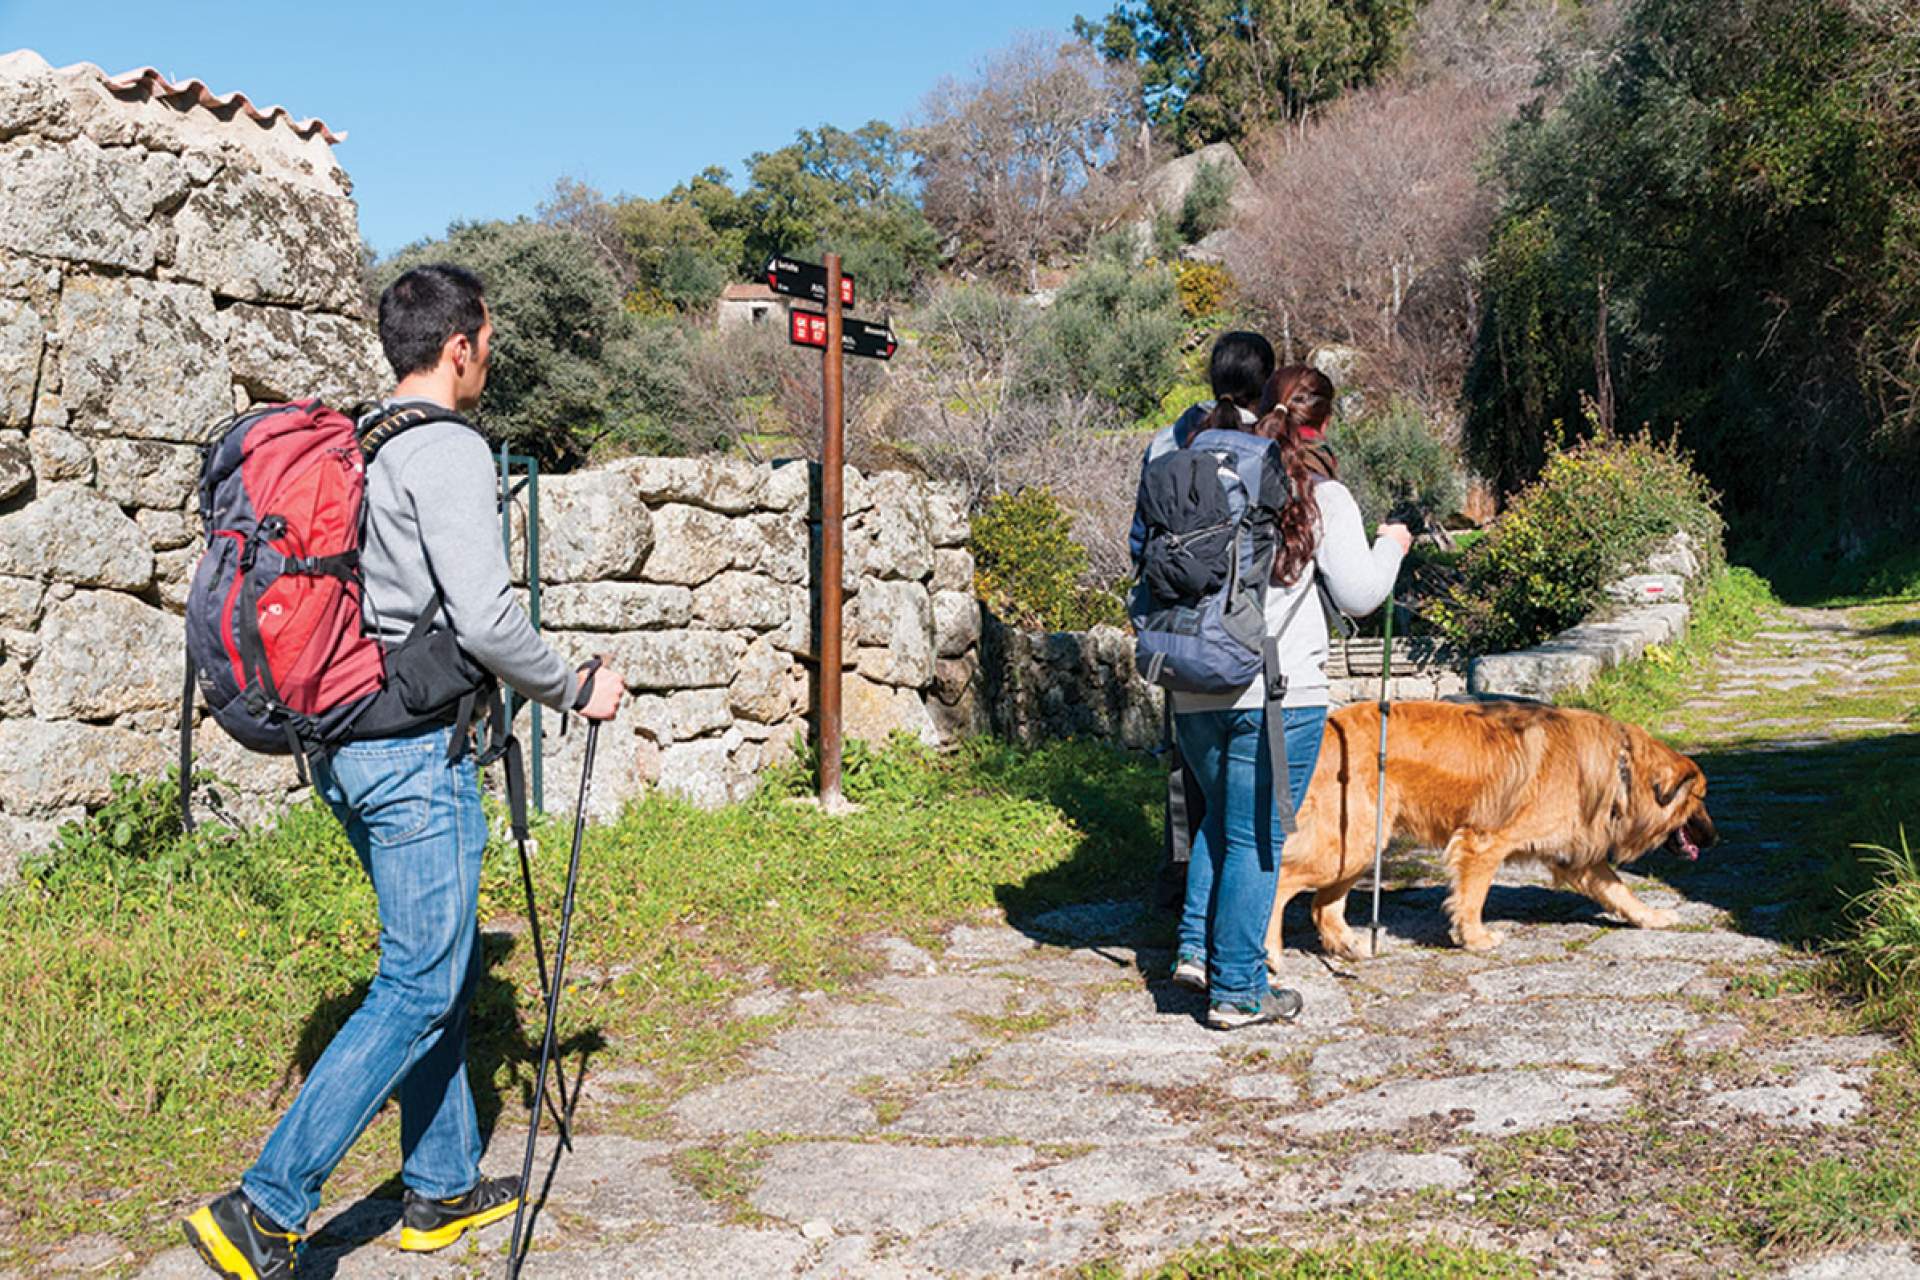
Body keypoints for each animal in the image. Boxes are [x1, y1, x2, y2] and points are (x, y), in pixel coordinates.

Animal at [1267, 702, 1720, 959]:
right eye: (1699, 798)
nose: (1716, 840)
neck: (1624, 771)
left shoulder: (1578, 859)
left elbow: (1621, 891)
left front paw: (1651, 917)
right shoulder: (1484, 843)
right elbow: (1472, 898)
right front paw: (1474, 938)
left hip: (1361, 844)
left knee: (1322, 905)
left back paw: (1347, 945)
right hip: (1348, 845)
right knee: (1281, 883)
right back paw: (1271, 957)